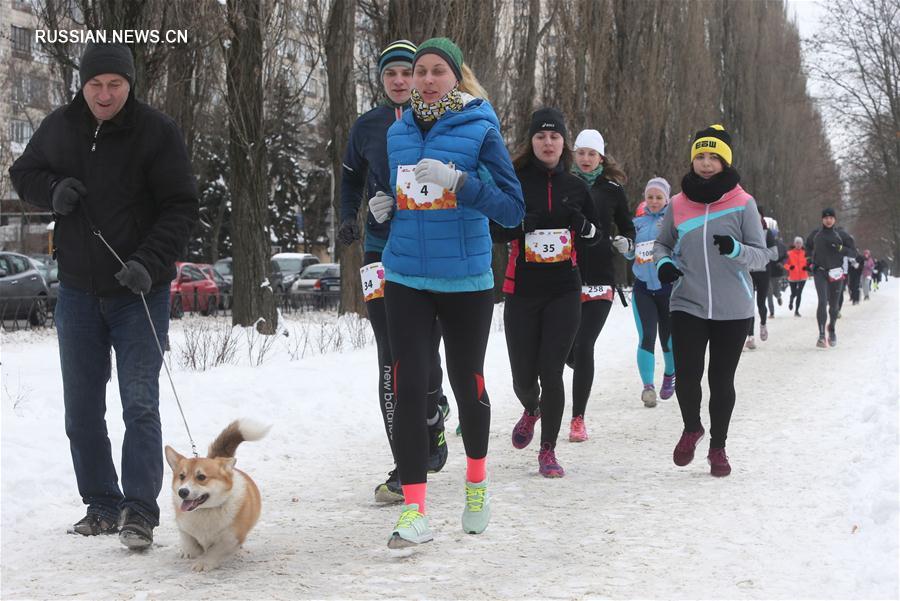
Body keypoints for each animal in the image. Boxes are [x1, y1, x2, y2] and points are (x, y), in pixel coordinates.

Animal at [165, 420, 268, 568]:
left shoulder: (232, 538)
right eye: (182, 476)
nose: (182, 492)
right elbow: (191, 544)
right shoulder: (184, 529)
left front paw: (204, 563)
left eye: (201, 477)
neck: (205, 510)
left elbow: (215, 550)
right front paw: (191, 552)